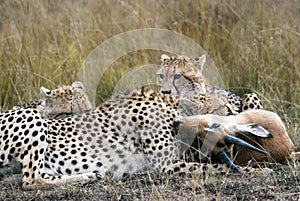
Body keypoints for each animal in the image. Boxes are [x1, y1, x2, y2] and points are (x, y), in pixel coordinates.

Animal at [0, 87, 270, 189]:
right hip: (32, 116)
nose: (237, 111)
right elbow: (214, 168)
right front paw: (259, 171)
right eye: (228, 106)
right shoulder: (165, 165)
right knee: (31, 180)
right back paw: (87, 176)